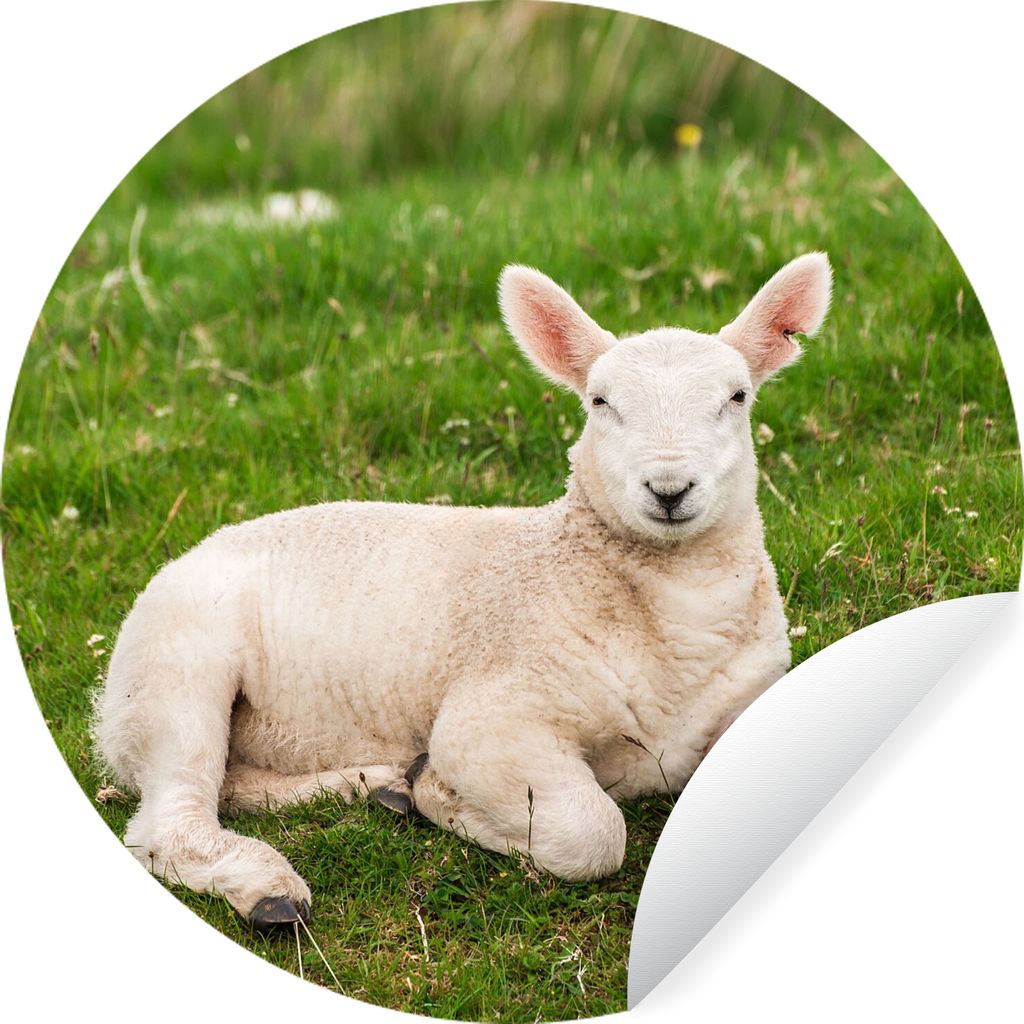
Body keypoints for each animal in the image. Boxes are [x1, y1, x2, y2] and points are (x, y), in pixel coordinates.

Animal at [94, 252, 832, 928]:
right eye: (600, 402)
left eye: (737, 398)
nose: (670, 489)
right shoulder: (493, 716)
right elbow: (590, 831)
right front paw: (441, 797)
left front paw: (417, 790)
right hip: (174, 669)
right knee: (170, 818)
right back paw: (270, 889)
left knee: (232, 786)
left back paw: (373, 786)